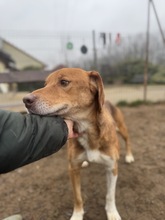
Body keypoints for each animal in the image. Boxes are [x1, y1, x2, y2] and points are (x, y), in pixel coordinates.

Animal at [23, 68, 134, 219]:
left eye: (64, 82)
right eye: (45, 84)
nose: (25, 100)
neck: (87, 132)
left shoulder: (112, 168)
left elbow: (110, 195)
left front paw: (112, 213)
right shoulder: (73, 168)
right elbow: (78, 197)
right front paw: (77, 215)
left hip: (122, 128)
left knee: (127, 140)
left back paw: (129, 156)